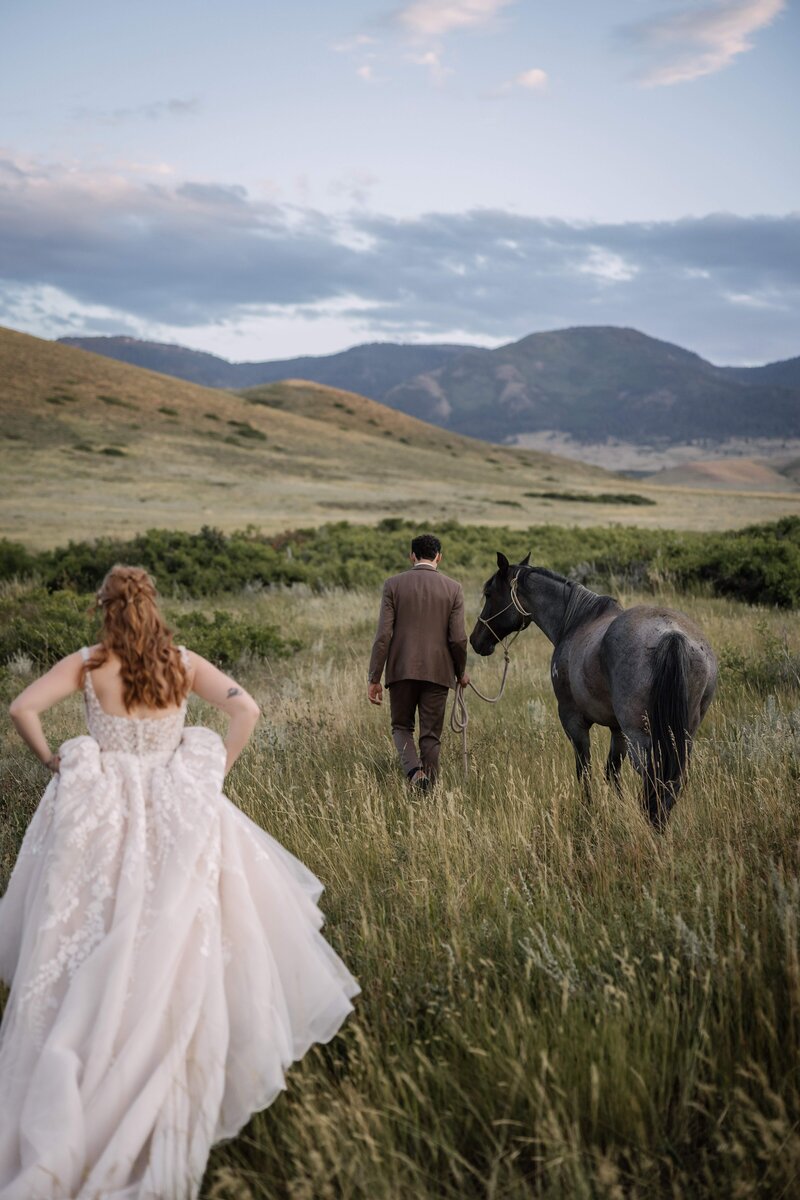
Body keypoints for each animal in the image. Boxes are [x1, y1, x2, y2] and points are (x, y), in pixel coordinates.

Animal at [470, 552, 719, 825]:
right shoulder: (617, 730)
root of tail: (672, 634)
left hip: (641, 736)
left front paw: (588, 812)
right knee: (672, 783)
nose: (475, 640)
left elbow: (585, 770)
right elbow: (611, 773)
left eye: (489, 593)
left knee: (654, 780)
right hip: (682, 734)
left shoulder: (573, 720)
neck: (577, 621)